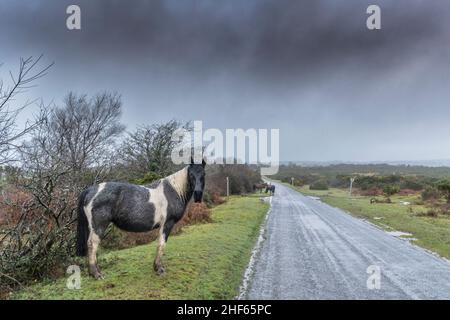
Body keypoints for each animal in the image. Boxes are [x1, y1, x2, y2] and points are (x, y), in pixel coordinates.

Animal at [76, 159, 207, 278]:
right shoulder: (167, 224)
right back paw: (96, 274)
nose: (198, 195)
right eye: (191, 174)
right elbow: (161, 244)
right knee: (92, 244)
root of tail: (90, 190)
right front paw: (159, 269)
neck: (174, 191)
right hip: (99, 225)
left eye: (203, 174)